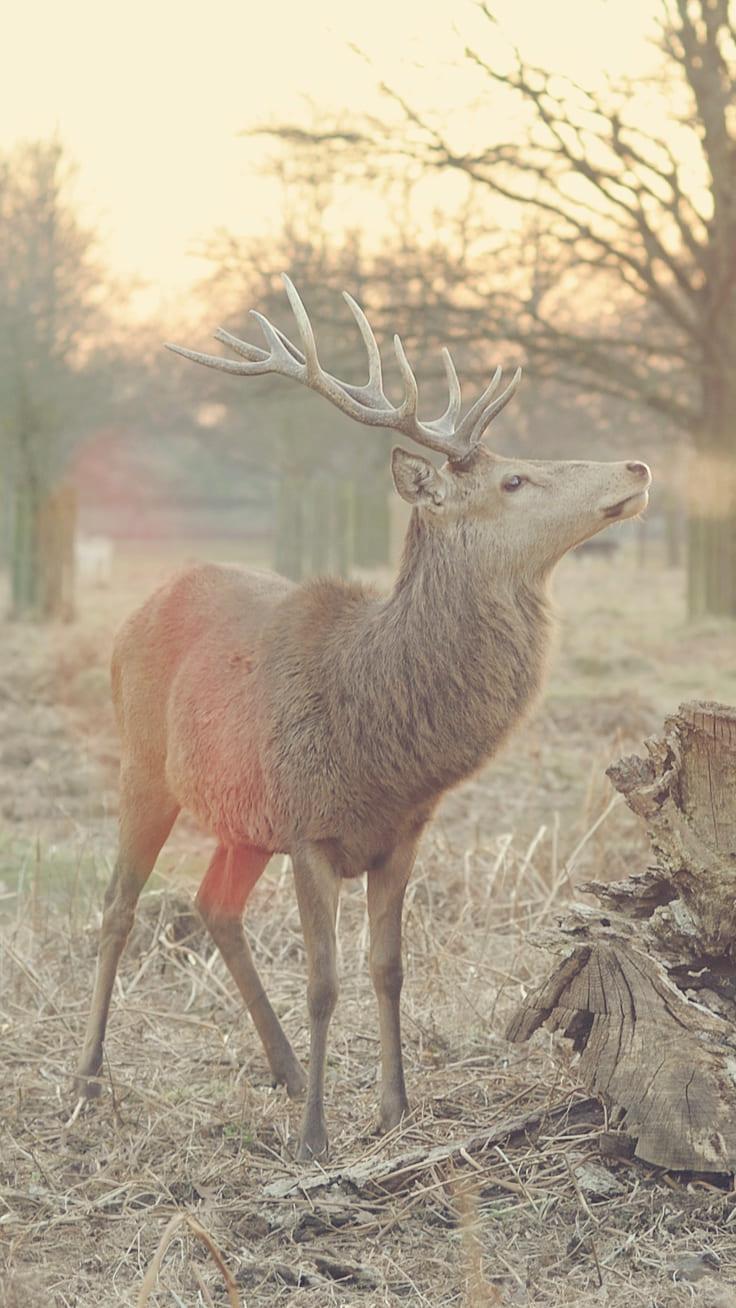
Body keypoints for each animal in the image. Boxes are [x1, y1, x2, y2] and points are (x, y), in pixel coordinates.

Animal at [74, 275, 651, 1161]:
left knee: (214, 905)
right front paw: (317, 1135)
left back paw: (280, 1067)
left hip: (245, 819)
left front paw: (395, 1109)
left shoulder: (400, 833)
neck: (380, 743)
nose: (637, 462)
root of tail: (141, 605)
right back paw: (90, 1077)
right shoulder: (310, 830)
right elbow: (324, 980)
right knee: (117, 906)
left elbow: (388, 968)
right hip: (143, 764)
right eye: (514, 482)